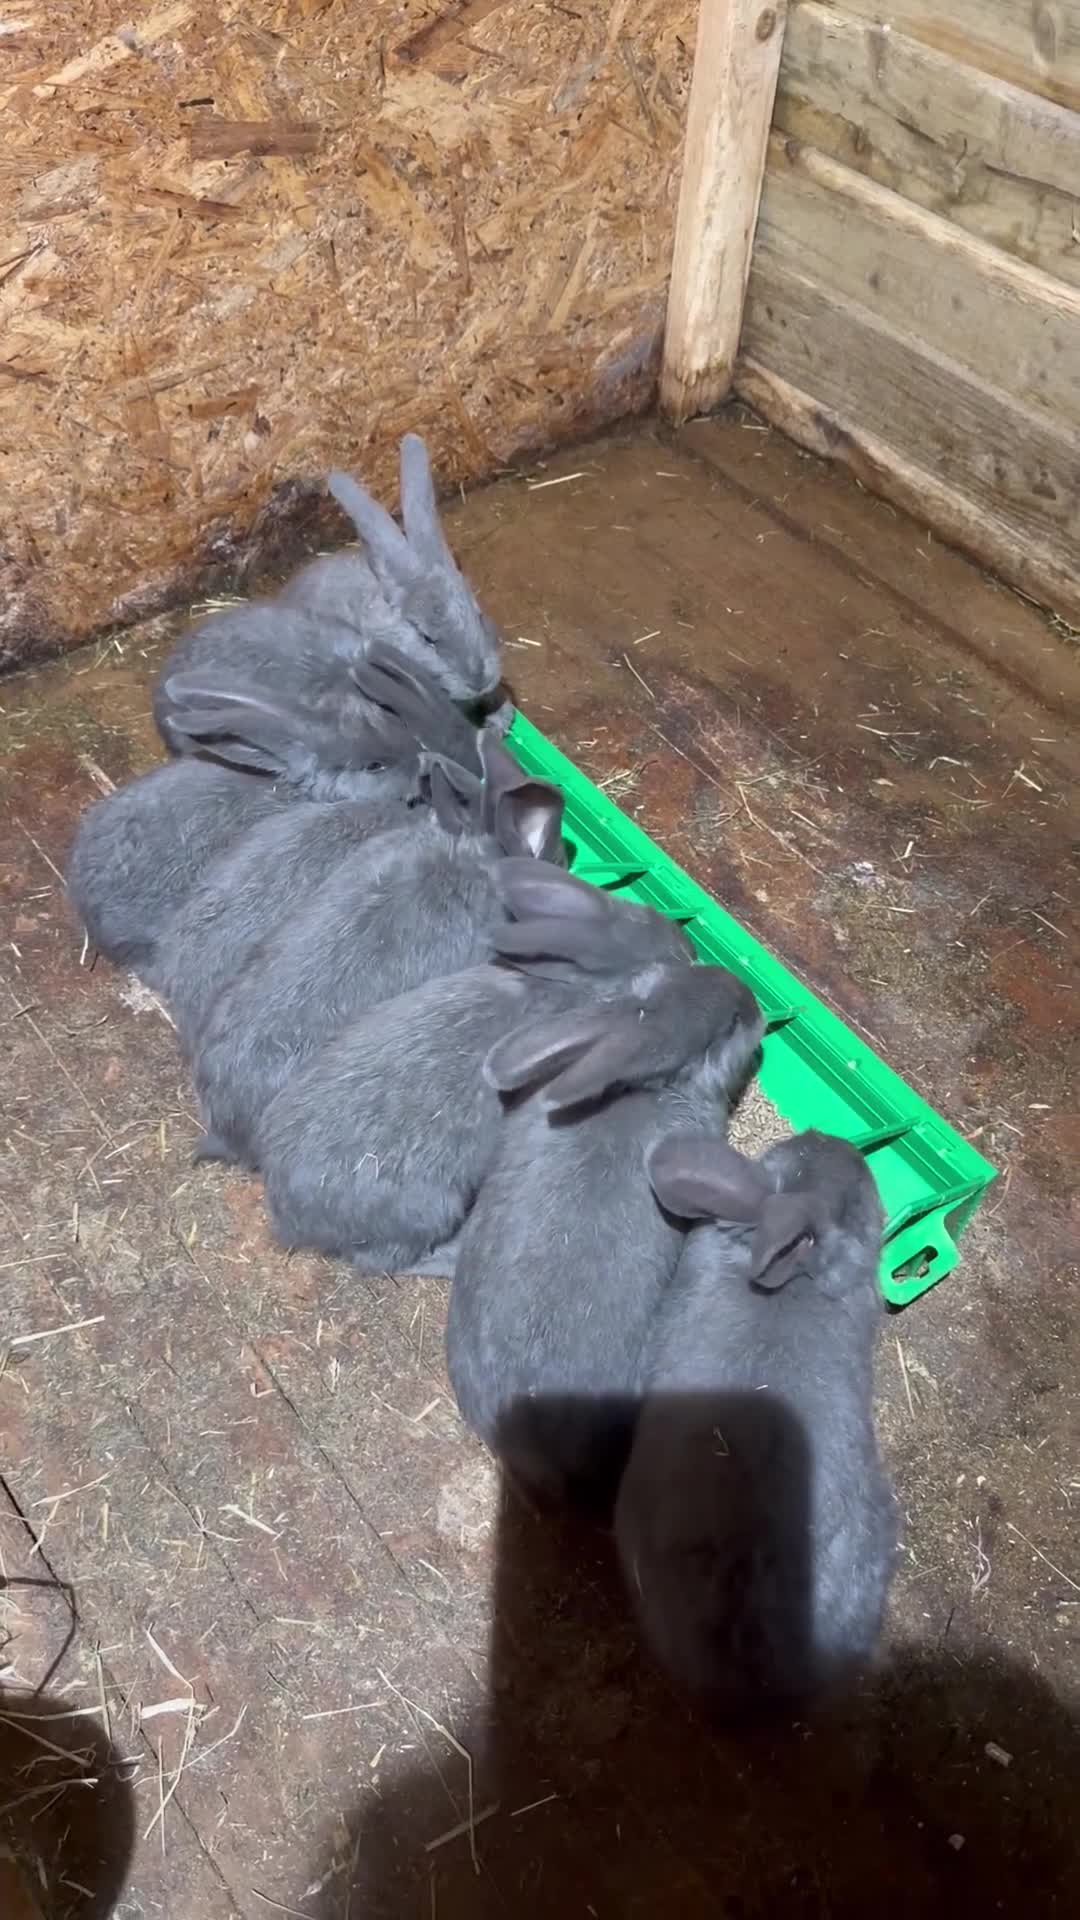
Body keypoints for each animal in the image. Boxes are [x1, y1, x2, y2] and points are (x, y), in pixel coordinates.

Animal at [256, 860, 695, 1275]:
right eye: (657, 974)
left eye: (643, 915)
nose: (689, 949)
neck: (584, 988)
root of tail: (292, 1215)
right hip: (433, 1209)